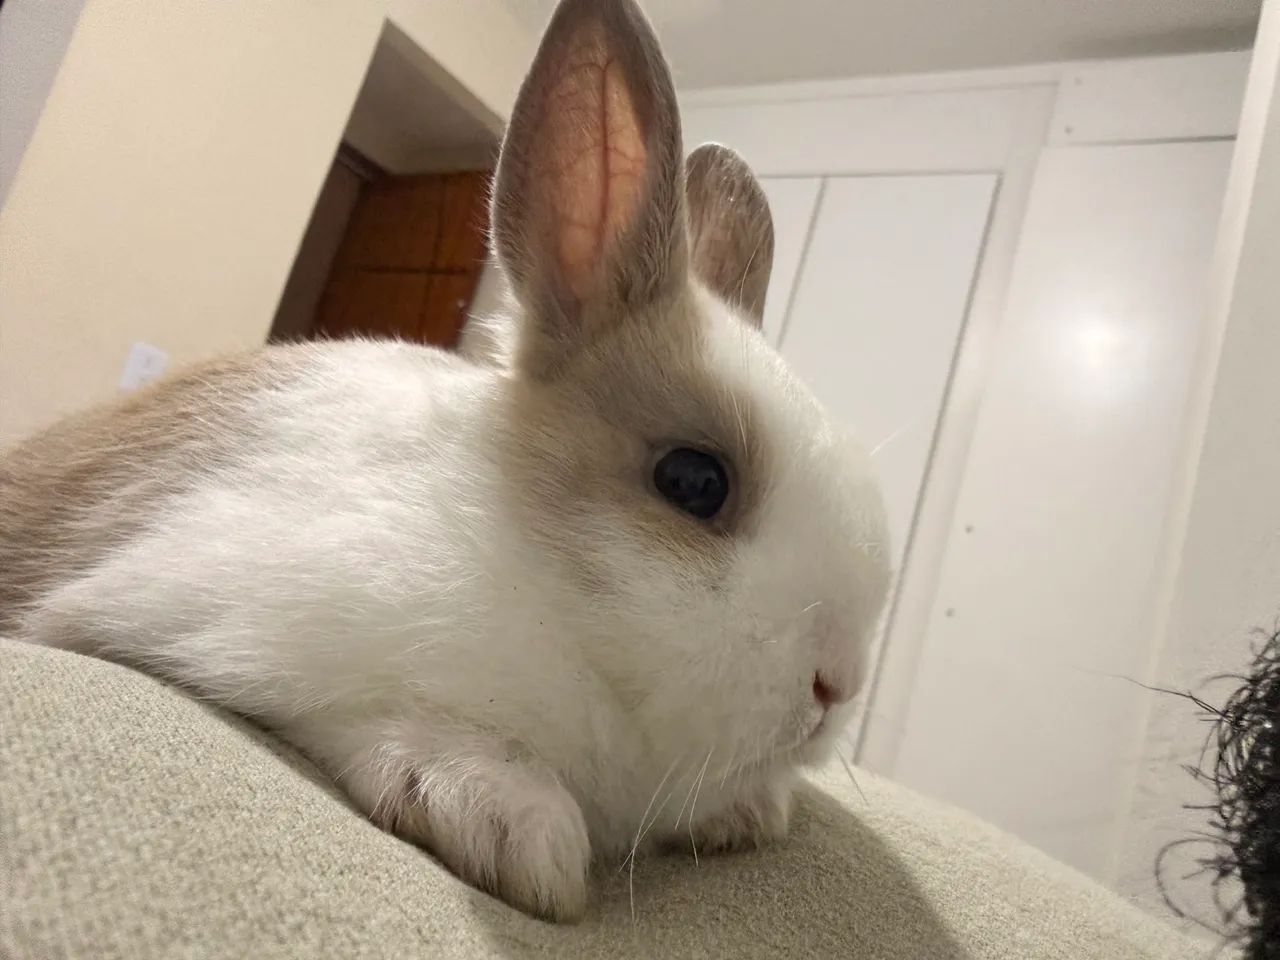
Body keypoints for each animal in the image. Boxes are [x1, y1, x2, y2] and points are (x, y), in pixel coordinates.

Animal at [0, 0, 891, 923]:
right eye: (693, 481)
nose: (837, 685)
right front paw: (516, 828)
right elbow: (370, 713)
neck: (547, 583)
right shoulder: (209, 617)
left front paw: (749, 813)